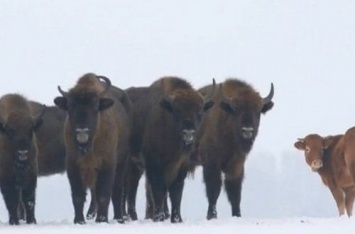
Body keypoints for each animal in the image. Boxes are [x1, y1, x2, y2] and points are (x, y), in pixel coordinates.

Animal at [0, 93, 45, 225]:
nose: (23, 153)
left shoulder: (31, 176)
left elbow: (29, 200)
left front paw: (32, 221)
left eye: (30, 129)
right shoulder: (6, 179)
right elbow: (11, 201)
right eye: (10, 130)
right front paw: (14, 222)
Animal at [141, 77, 214, 223]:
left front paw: (177, 219)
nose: (188, 133)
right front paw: (159, 218)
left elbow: (176, 193)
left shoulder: (182, 167)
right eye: (177, 110)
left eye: (199, 111)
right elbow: (158, 190)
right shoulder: (154, 165)